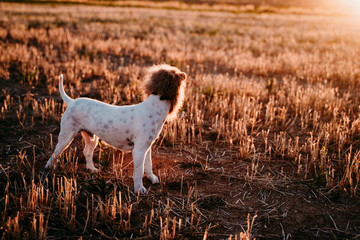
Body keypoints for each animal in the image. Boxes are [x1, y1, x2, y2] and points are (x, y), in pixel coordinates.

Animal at [45, 64, 187, 194]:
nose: (184, 74)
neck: (155, 106)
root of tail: (72, 101)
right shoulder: (138, 151)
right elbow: (139, 171)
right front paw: (139, 189)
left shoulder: (147, 147)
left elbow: (149, 165)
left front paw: (152, 178)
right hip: (66, 135)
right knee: (55, 153)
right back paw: (49, 168)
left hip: (92, 138)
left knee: (87, 152)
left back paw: (92, 169)